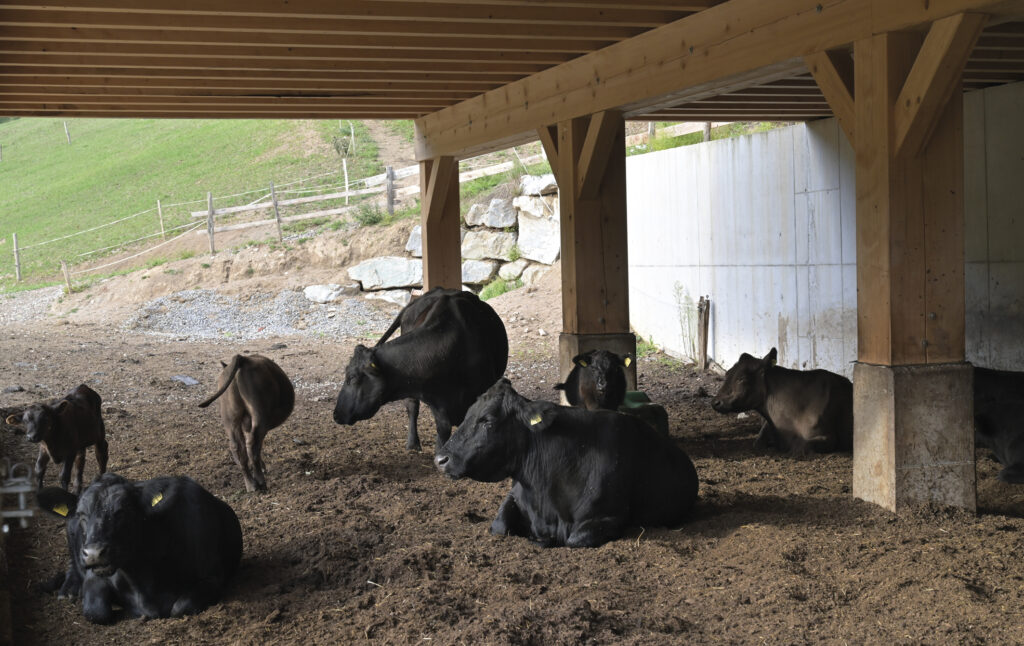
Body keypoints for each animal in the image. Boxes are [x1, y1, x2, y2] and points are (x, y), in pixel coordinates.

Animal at [34, 472, 243, 622]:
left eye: (122, 512)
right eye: (81, 515)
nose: (94, 554)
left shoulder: (212, 578)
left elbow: (180, 607)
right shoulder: (95, 577)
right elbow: (96, 612)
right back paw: (68, 590)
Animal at [436, 378, 700, 552]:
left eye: (487, 420)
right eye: (468, 414)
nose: (440, 459)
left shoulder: (606, 517)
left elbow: (572, 540)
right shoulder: (515, 498)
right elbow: (499, 526)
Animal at [708, 348, 851, 454]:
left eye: (742, 378)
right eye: (727, 373)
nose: (715, 402)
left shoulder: (827, 437)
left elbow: (800, 446)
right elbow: (757, 443)